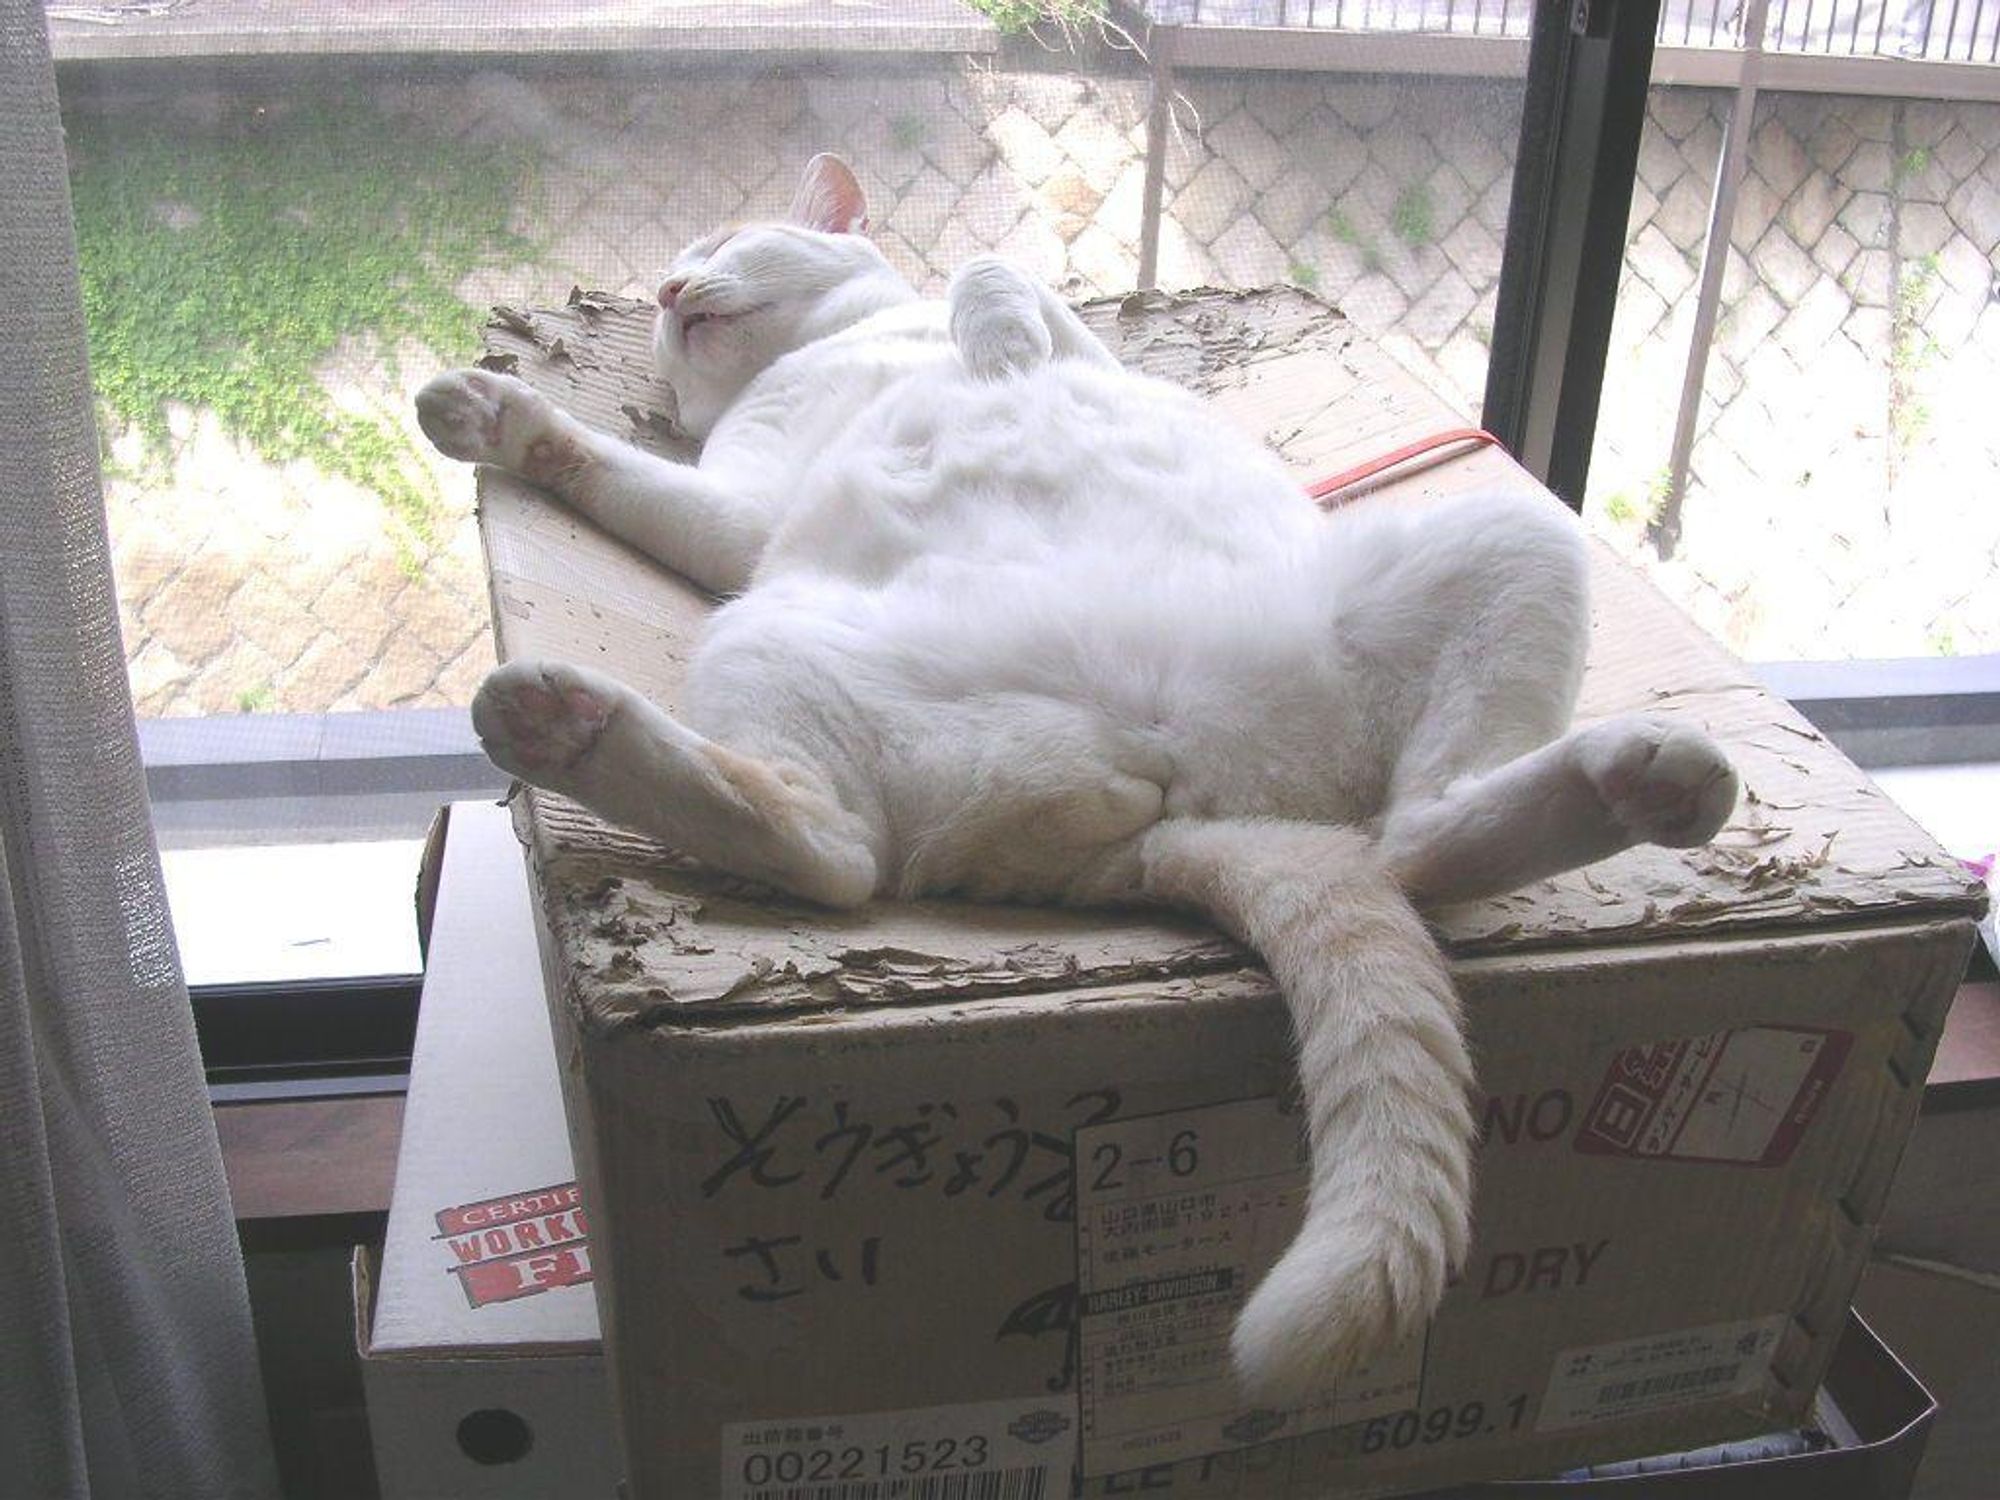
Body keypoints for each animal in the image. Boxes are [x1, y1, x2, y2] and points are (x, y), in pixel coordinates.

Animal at [414, 156, 1744, 1408]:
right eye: (668, 280)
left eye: (720, 241)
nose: (670, 289)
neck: (833, 344)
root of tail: (1185, 810)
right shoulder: (734, 517)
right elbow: (599, 458)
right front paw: (481, 410)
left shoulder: (1057, 342)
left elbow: (999, 273)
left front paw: (991, 337)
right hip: (764, 634)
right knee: (834, 853)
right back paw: (559, 725)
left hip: (1510, 540)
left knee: (1411, 839)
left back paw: (1654, 781)